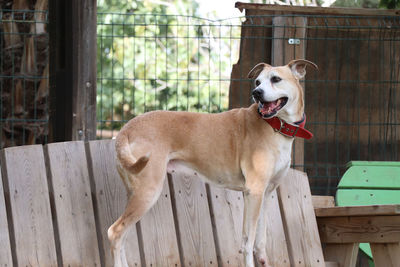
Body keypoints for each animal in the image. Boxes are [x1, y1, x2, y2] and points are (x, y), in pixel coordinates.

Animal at [108, 59, 318, 266]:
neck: (274, 125)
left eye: (275, 79)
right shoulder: (254, 192)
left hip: (136, 194)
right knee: (115, 233)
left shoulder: (265, 194)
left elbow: (260, 240)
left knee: (123, 236)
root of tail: (127, 128)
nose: (256, 93)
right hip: (147, 192)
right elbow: (247, 242)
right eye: (258, 82)